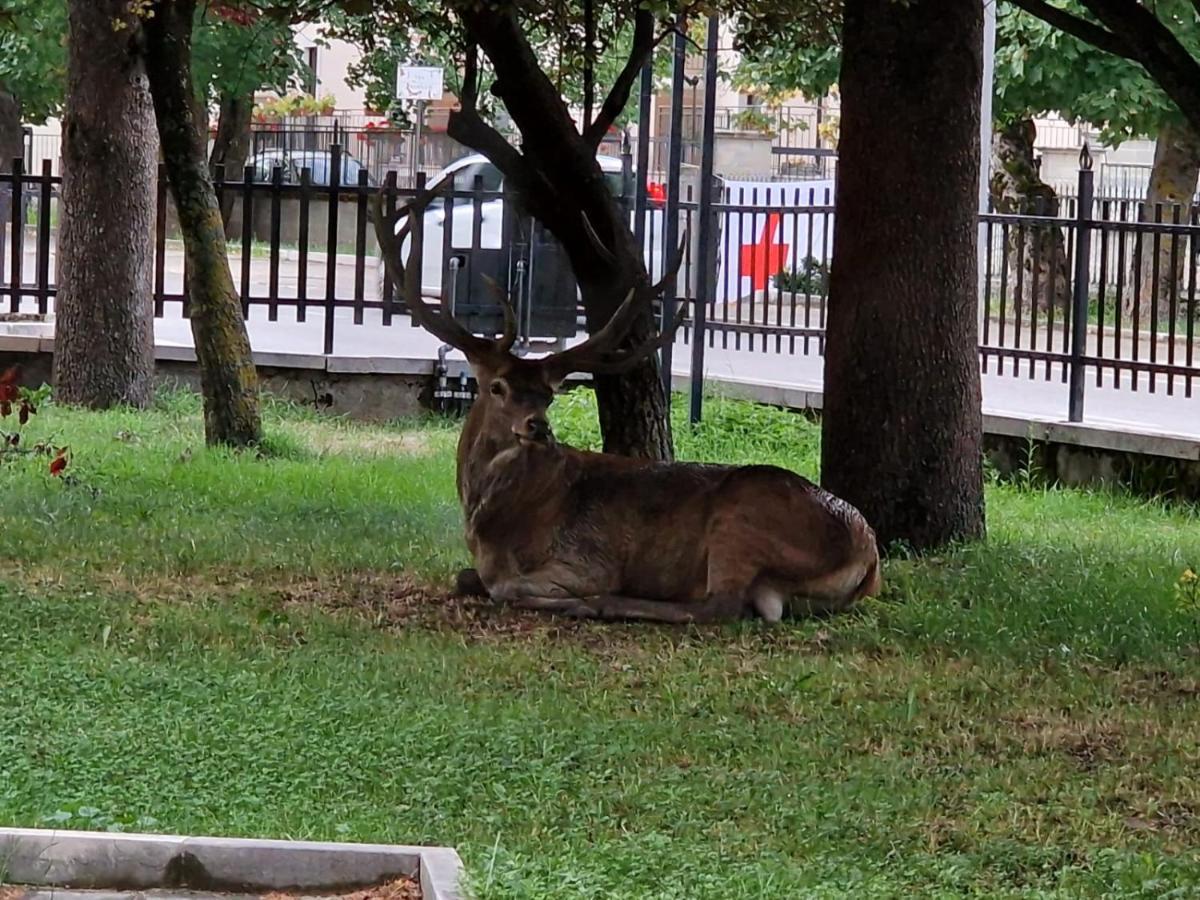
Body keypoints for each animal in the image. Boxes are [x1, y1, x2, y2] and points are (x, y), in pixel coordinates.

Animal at [372, 178, 883, 624]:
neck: (491, 527)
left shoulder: (585, 559)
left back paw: (601, 604)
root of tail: (869, 552)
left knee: (720, 607)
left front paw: (571, 597)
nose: (538, 426)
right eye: (497, 386)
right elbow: (466, 577)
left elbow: (504, 586)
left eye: (549, 395)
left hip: (742, 521)